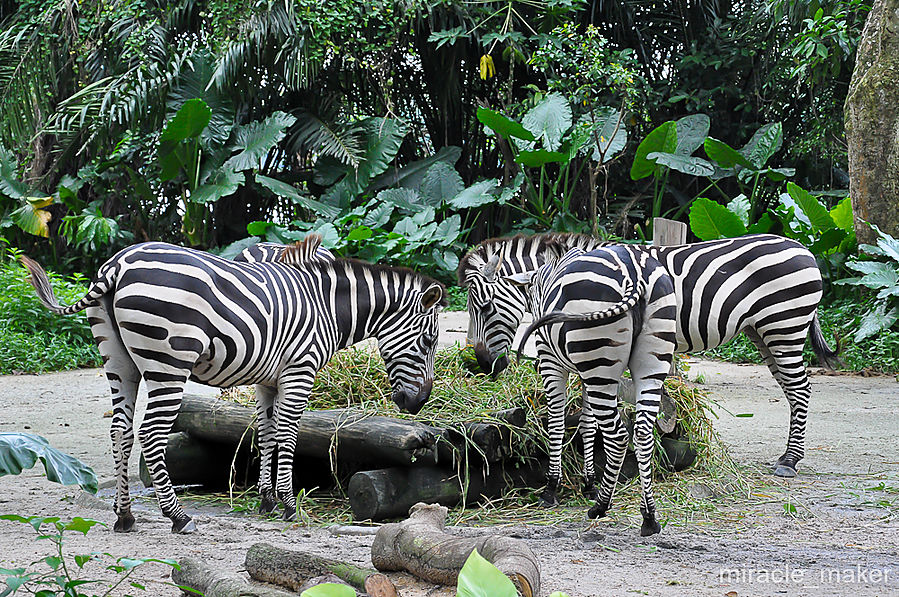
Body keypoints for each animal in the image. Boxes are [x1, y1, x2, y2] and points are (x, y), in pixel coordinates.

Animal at [25, 235, 450, 532]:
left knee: (121, 431)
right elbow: (288, 435)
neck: (327, 306)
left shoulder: (268, 379)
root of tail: (116, 266)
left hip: (118, 362)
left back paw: (125, 515)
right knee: (150, 433)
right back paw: (177, 516)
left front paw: (266, 500)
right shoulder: (300, 370)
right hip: (168, 363)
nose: (419, 402)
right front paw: (288, 504)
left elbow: (266, 434)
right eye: (430, 340)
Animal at [464, 230, 844, 478]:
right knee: (792, 390)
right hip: (762, 331)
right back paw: (787, 455)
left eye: (484, 307)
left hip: (784, 326)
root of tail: (803, 247)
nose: (483, 366)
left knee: (800, 388)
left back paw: (790, 462)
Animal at [506, 242, 676, 536]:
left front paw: (551, 488)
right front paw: (589, 483)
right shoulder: (585, 375)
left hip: (598, 361)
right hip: (645, 363)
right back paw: (649, 517)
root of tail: (634, 269)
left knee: (618, 436)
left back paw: (601, 506)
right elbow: (588, 426)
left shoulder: (550, 360)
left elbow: (557, 424)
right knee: (643, 433)